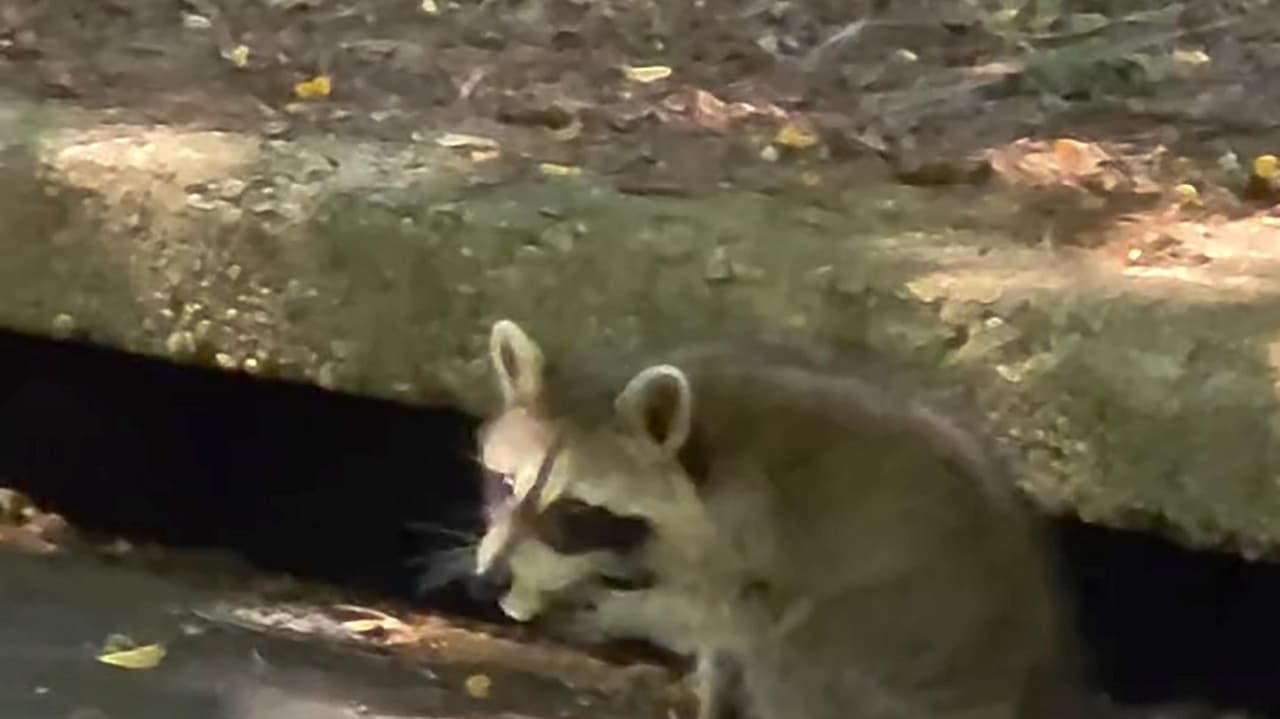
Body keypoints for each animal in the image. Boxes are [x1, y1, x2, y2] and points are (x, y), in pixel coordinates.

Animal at [470, 318, 1090, 719]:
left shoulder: (750, 528)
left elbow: (717, 614)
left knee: (794, 660)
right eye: (505, 485)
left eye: (575, 510)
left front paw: (619, 608)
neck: (695, 449)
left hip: (900, 639)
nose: (491, 579)